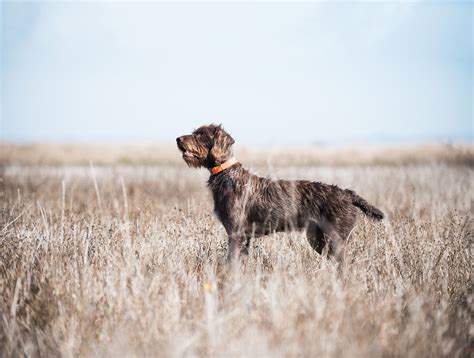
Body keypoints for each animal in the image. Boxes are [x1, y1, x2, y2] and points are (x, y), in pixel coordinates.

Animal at [176, 124, 384, 262]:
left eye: (201, 135)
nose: (178, 139)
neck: (225, 173)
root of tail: (347, 194)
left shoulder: (236, 234)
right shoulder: (244, 238)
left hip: (334, 239)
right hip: (317, 238)